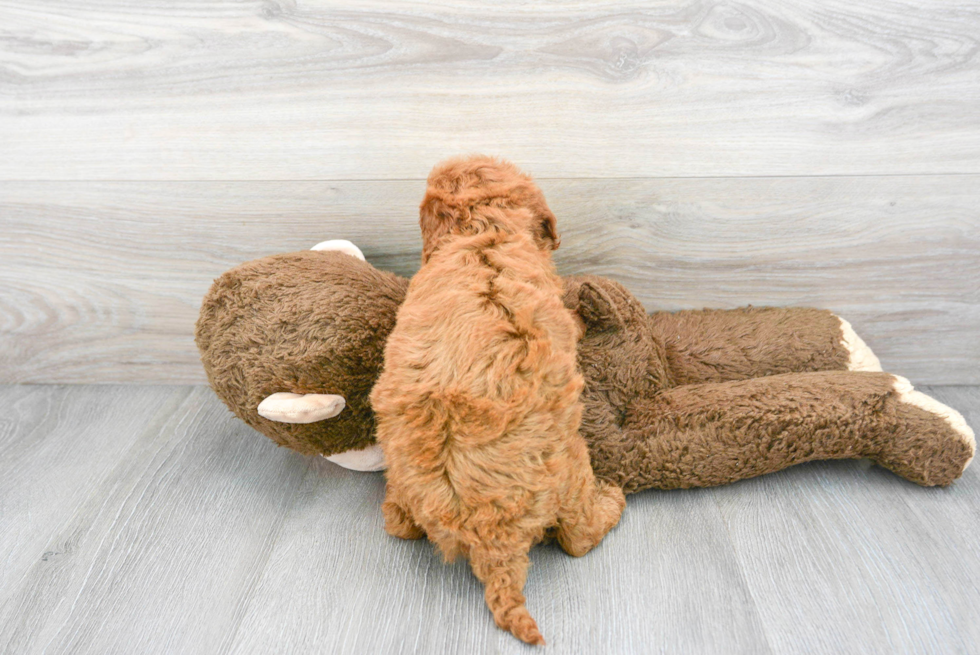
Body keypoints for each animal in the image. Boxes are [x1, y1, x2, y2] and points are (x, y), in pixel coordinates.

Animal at [368, 155, 628, 644]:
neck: (481, 231)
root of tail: (491, 540)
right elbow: (572, 319)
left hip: (400, 469)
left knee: (397, 523)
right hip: (569, 465)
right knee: (577, 538)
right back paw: (612, 500)